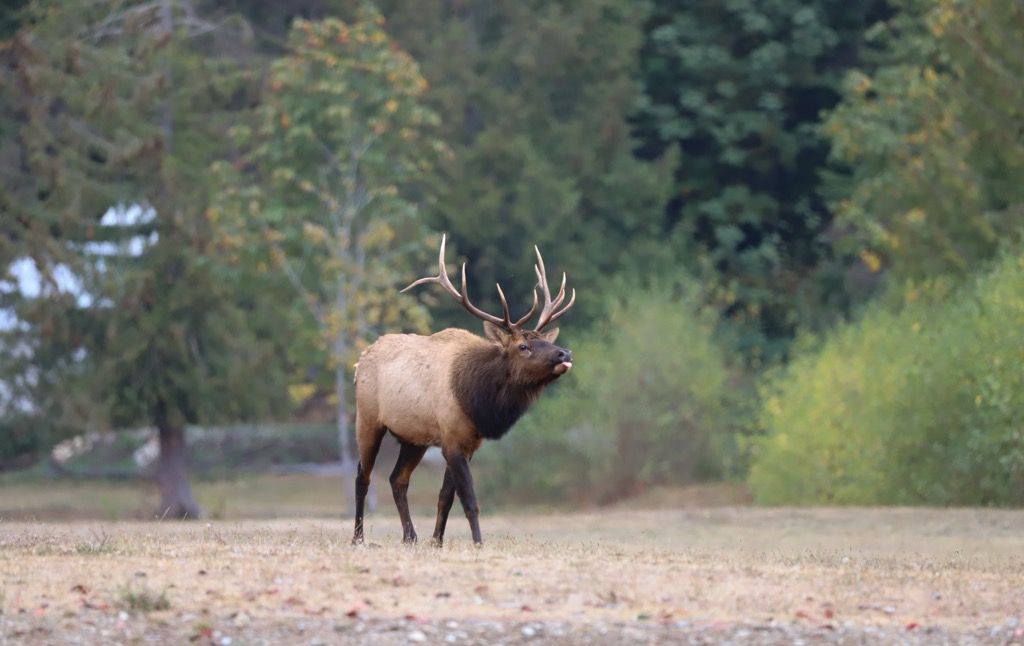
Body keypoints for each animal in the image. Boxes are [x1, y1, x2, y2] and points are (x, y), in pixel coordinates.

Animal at [351, 235, 575, 547]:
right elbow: (470, 500)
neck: (477, 402)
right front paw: (478, 543)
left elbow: (445, 498)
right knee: (363, 476)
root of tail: (360, 360)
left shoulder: (467, 443)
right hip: (368, 418)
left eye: (545, 339)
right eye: (523, 346)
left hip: (414, 438)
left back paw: (411, 537)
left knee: (397, 479)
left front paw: (437, 542)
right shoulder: (453, 440)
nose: (564, 352)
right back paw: (358, 538)